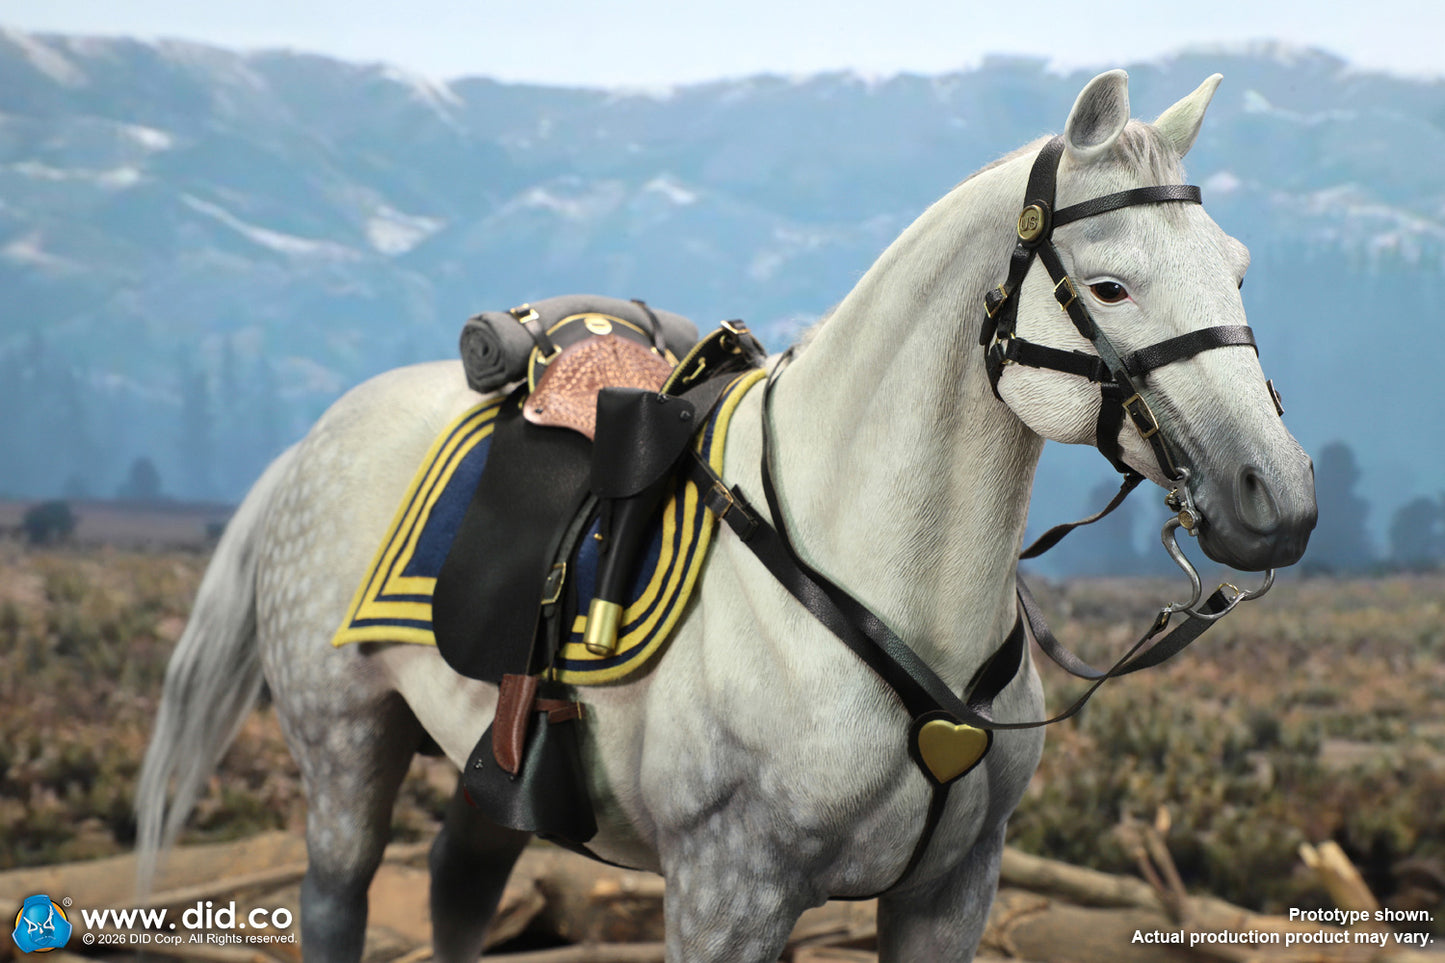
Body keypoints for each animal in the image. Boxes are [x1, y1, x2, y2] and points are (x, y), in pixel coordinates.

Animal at [136, 69, 1316, 963]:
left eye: (1239, 269)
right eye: (1109, 286)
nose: (1279, 500)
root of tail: (315, 439)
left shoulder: (948, 894)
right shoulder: (726, 891)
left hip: (484, 764)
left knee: (458, 887)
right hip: (343, 744)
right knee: (338, 898)